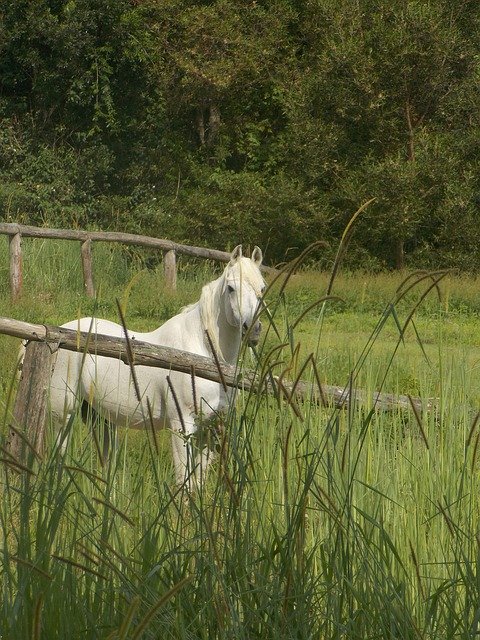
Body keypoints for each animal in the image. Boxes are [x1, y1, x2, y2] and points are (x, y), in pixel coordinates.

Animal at [47, 245, 266, 484]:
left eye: (262, 288)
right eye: (231, 288)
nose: (253, 329)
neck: (203, 356)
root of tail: (63, 333)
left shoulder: (208, 428)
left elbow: (198, 481)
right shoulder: (182, 425)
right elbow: (184, 480)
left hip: (99, 416)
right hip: (63, 412)